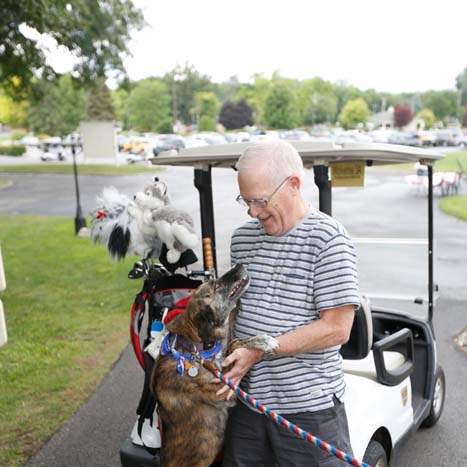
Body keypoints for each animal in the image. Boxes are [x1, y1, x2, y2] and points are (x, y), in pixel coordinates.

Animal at [152, 266, 280, 466]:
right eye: (216, 285)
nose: (239, 265)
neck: (193, 348)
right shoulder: (224, 389)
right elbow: (235, 345)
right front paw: (264, 341)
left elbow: (234, 341)